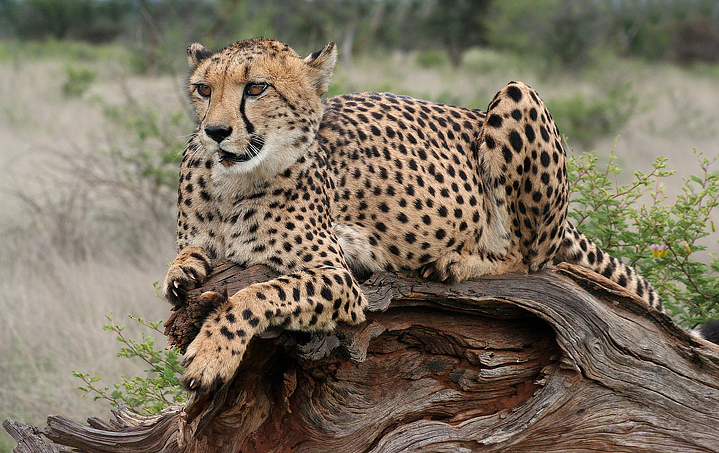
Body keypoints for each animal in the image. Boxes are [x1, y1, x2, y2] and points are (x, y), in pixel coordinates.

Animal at [162, 38, 663, 396]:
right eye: (203, 89)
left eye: (256, 88)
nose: (215, 131)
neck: (231, 186)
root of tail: (470, 110)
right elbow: (185, 261)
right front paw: (183, 274)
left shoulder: (340, 280)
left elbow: (256, 294)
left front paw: (210, 356)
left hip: (516, 95)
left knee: (530, 257)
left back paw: (455, 262)